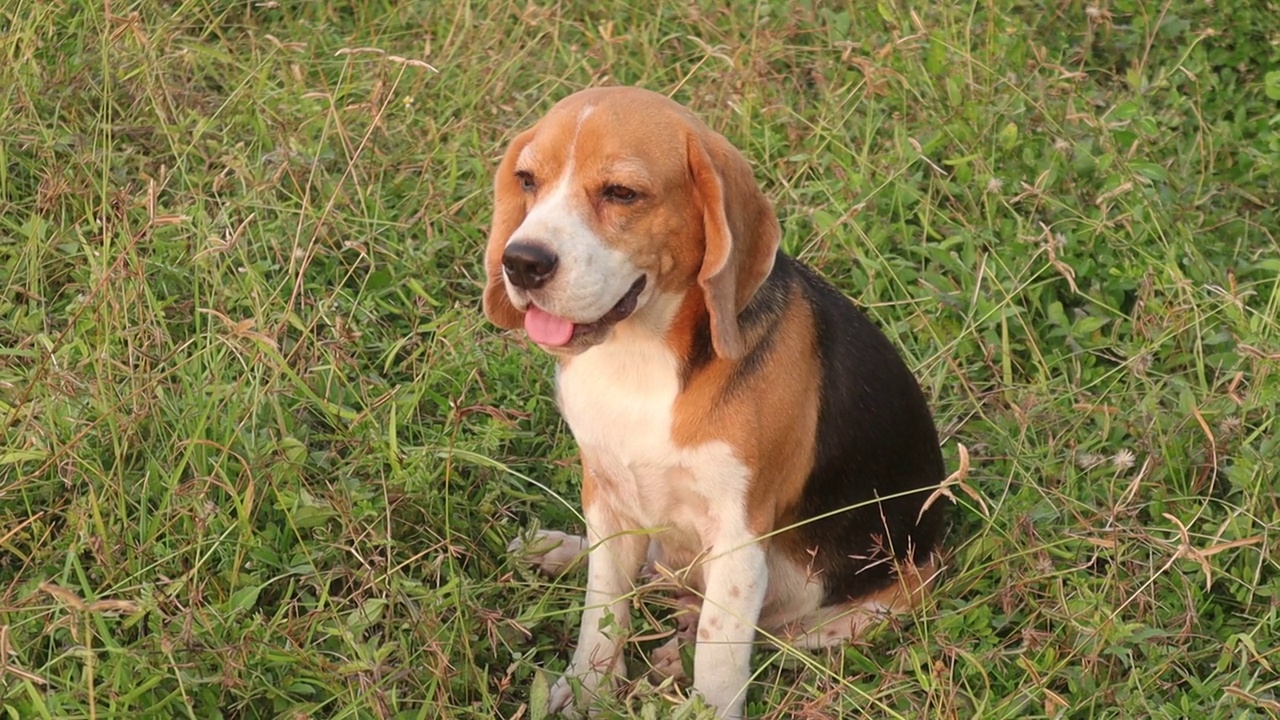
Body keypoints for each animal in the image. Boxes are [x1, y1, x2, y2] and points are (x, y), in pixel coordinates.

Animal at [483, 87, 947, 712]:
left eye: (622, 193)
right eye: (528, 180)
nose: (522, 261)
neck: (639, 362)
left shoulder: (738, 539)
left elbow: (720, 654)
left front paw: (700, 697)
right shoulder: (607, 495)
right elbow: (603, 612)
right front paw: (587, 691)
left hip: (870, 604)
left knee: (771, 632)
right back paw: (555, 549)